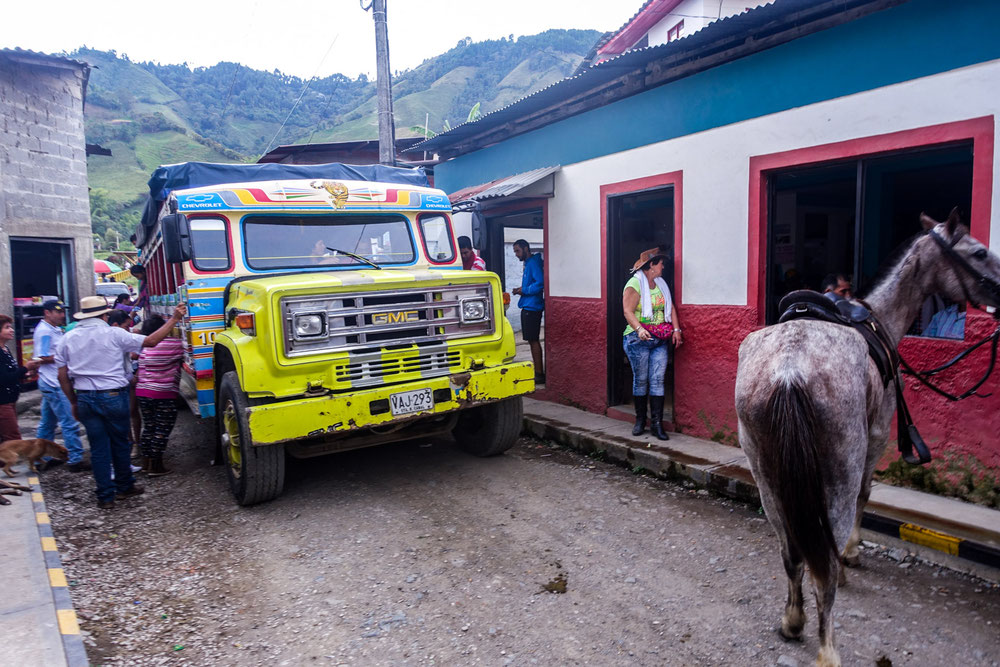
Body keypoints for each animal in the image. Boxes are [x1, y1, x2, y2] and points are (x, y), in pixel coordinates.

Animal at [736, 210, 1000, 667]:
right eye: (980, 252)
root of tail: (788, 369)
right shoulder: (875, 440)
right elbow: (866, 494)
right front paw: (854, 554)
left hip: (767, 477)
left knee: (790, 551)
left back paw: (792, 621)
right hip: (836, 472)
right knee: (823, 560)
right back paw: (828, 646)